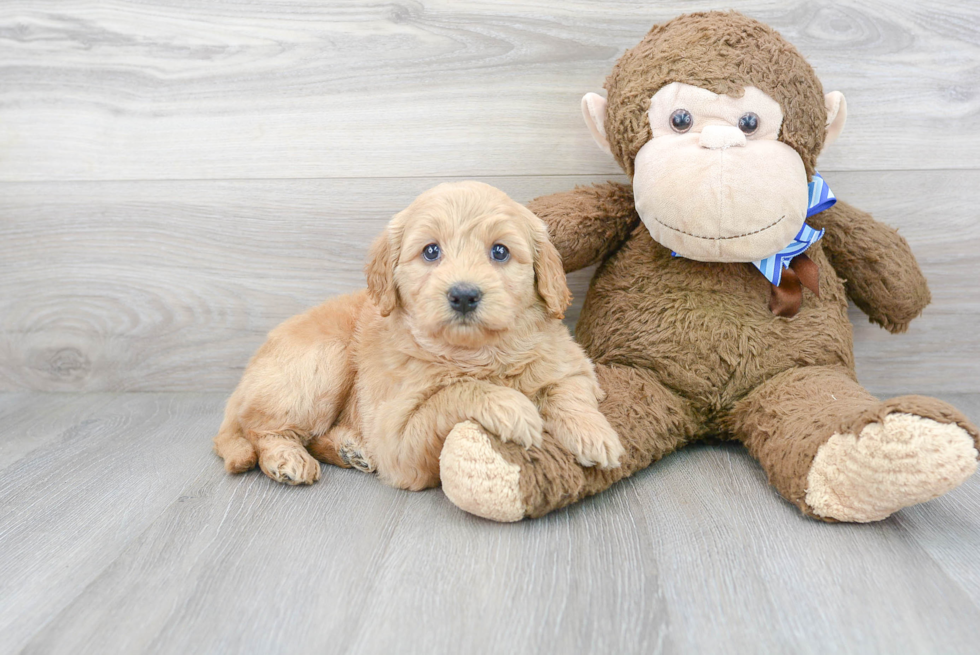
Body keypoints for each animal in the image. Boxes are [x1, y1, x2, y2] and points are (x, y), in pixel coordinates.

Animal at [216, 182, 628, 490]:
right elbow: (453, 394)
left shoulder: (572, 364)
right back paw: (287, 458)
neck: (477, 353)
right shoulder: (399, 441)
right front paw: (510, 406)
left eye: (500, 251)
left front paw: (595, 435)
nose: (464, 295)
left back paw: (349, 448)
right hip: (323, 362)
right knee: (260, 429)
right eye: (431, 251)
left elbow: (569, 392)